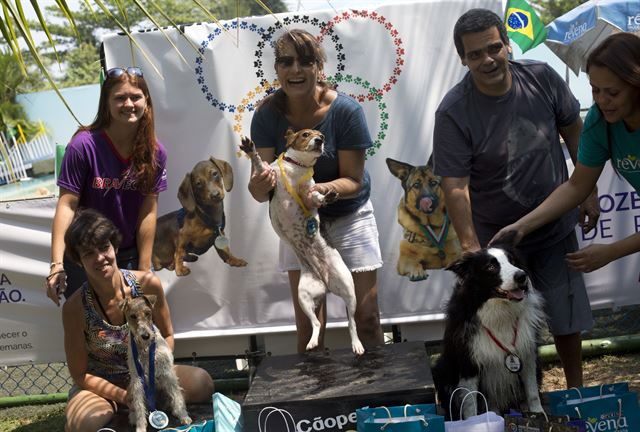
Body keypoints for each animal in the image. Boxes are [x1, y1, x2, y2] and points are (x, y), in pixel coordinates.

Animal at [119, 296, 190, 430]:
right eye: (133, 316)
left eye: (148, 313)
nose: (145, 336)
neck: (146, 348)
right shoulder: (138, 380)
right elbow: (139, 406)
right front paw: (140, 427)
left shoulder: (167, 372)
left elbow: (177, 396)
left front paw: (184, 417)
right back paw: (134, 419)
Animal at [240, 130, 364, 356]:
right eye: (306, 134)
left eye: (321, 134)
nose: (320, 140)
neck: (297, 168)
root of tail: (326, 283)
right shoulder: (269, 179)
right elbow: (259, 165)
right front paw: (250, 150)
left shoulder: (308, 196)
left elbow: (315, 197)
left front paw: (327, 196)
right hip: (303, 296)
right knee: (316, 323)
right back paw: (313, 342)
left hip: (350, 292)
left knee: (352, 323)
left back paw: (356, 344)